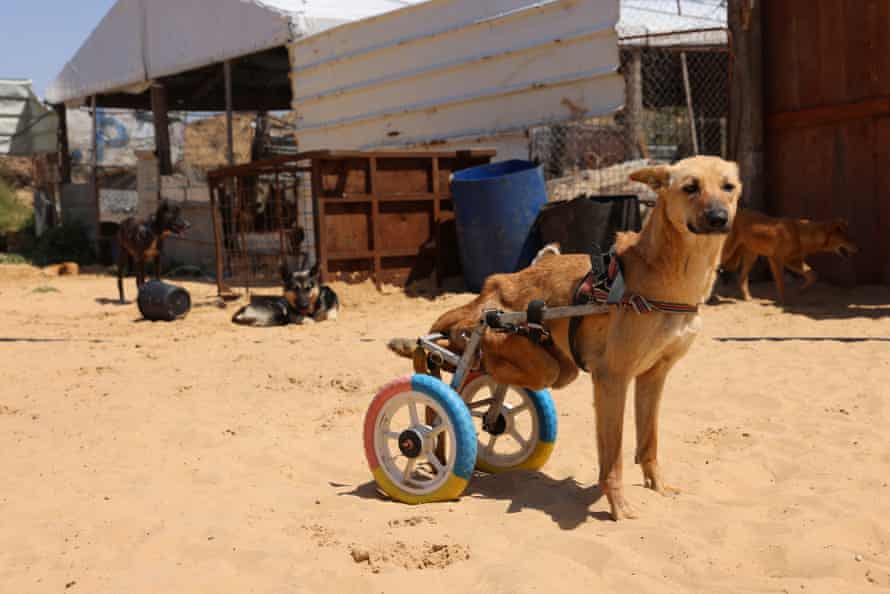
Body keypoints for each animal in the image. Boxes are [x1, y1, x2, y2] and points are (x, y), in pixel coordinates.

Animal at [390, 156, 744, 520]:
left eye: (728, 187)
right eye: (690, 187)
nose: (719, 218)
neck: (667, 276)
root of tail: (496, 283)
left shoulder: (653, 377)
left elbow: (649, 442)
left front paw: (657, 486)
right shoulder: (612, 379)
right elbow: (612, 458)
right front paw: (618, 506)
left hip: (556, 367)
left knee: (475, 377)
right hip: (532, 357)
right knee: (458, 354)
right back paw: (432, 360)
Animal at [720, 208, 856, 300]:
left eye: (850, 238)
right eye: (847, 239)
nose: (858, 248)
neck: (800, 233)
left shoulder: (792, 261)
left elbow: (812, 275)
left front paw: (801, 291)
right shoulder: (776, 259)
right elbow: (781, 283)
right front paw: (783, 301)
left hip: (751, 257)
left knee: (741, 279)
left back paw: (748, 298)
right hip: (727, 252)